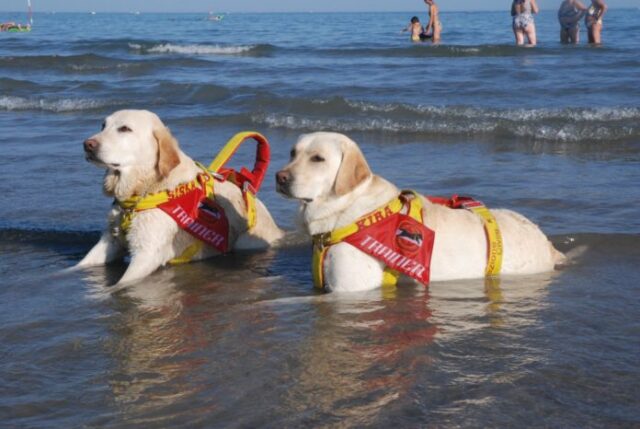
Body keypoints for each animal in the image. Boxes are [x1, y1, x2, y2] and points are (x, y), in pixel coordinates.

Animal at [77, 110, 282, 284]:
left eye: (125, 128)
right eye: (103, 125)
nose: (87, 144)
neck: (140, 193)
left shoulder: (146, 254)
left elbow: (121, 284)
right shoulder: (109, 241)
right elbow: (79, 266)